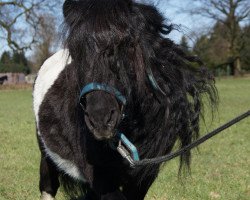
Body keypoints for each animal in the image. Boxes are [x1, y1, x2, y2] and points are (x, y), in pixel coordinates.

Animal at [32, 0, 217, 200]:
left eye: (126, 44)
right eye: (75, 51)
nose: (100, 119)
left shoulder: (144, 176)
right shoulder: (100, 178)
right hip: (46, 154)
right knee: (48, 186)